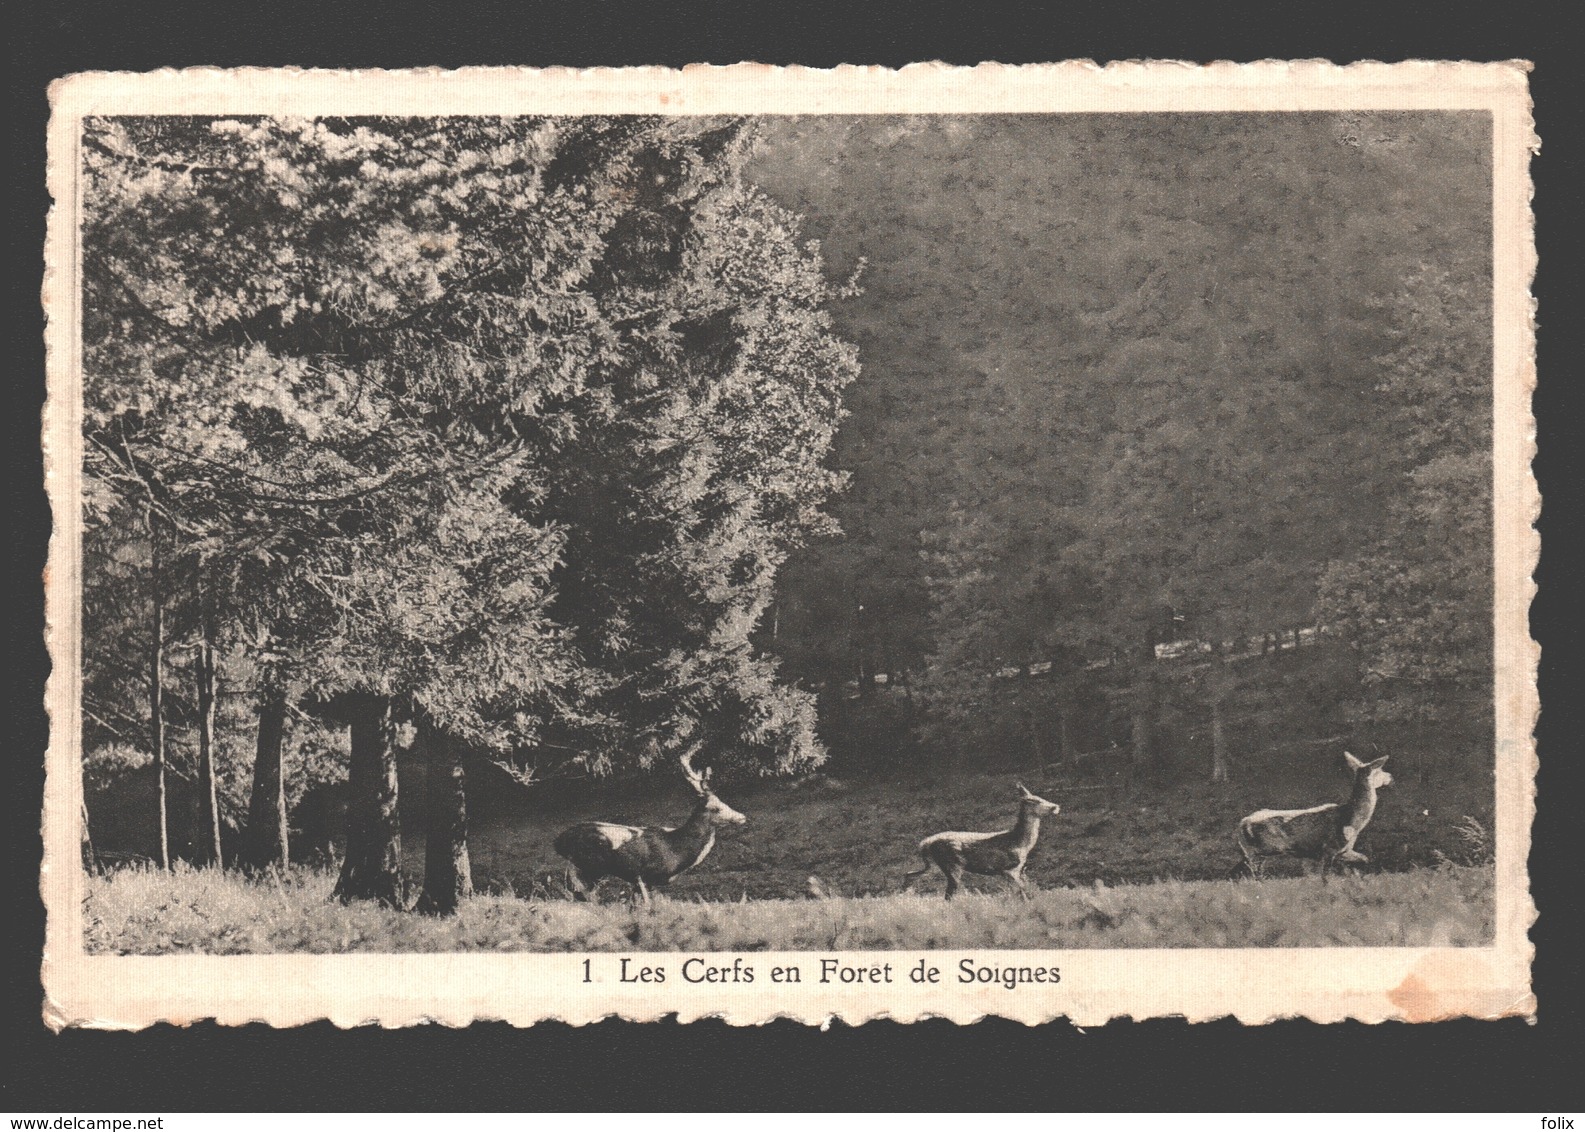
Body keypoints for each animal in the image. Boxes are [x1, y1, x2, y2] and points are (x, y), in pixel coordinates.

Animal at [554, 745, 744, 906]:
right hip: (589, 866)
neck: (677, 848)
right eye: (716, 808)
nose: (742, 817)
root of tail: (559, 842)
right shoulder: (644, 875)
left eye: (723, 801)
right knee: (582, 897)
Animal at [912, 780, 1058, 894]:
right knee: (950, 893)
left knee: (911, 875)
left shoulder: (1015, 871)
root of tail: (925, 843)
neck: (1020, 843)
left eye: (1040, 797)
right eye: (1035, 801)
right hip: (951, 864)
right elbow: (1021, 893)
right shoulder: (1007, 869)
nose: (1055, 806)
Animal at [1229, 748, 1394, 881]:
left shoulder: (1342, 851)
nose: (1391, 777)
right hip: (1257, 850)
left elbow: (1364, 860)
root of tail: (1241, 823)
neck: (1351, 821)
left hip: (1253, 852)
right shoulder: (1329, 848)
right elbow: (1326, 877)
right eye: (1379, 771)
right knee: (1252, 873)